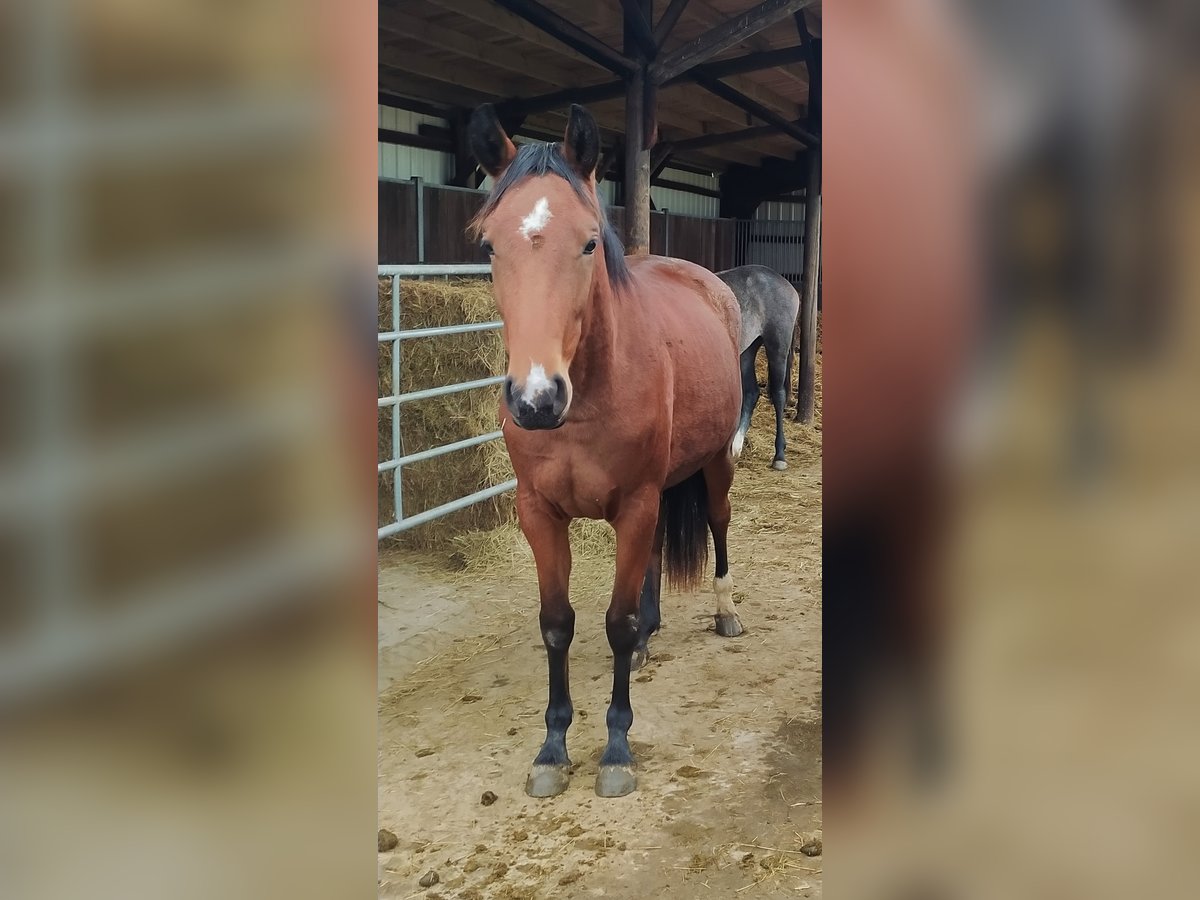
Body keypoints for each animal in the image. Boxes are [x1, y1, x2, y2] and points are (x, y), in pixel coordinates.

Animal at [465, 102, 739, 801]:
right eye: (489, 245)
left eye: (590, 242)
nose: (535, 399)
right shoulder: (540, 513)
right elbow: (558, 623)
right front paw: (552, 747)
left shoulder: (636, 505)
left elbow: (614, 621)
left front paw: (615, 749)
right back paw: (649, 637)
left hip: (716, 464)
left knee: (719, 526)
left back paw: (726, 613)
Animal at [715, 266, 801, 472]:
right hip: (746, 350)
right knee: (752, 392)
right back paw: (735, 447)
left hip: (777, 347)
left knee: (778, 394)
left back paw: (779, 456)